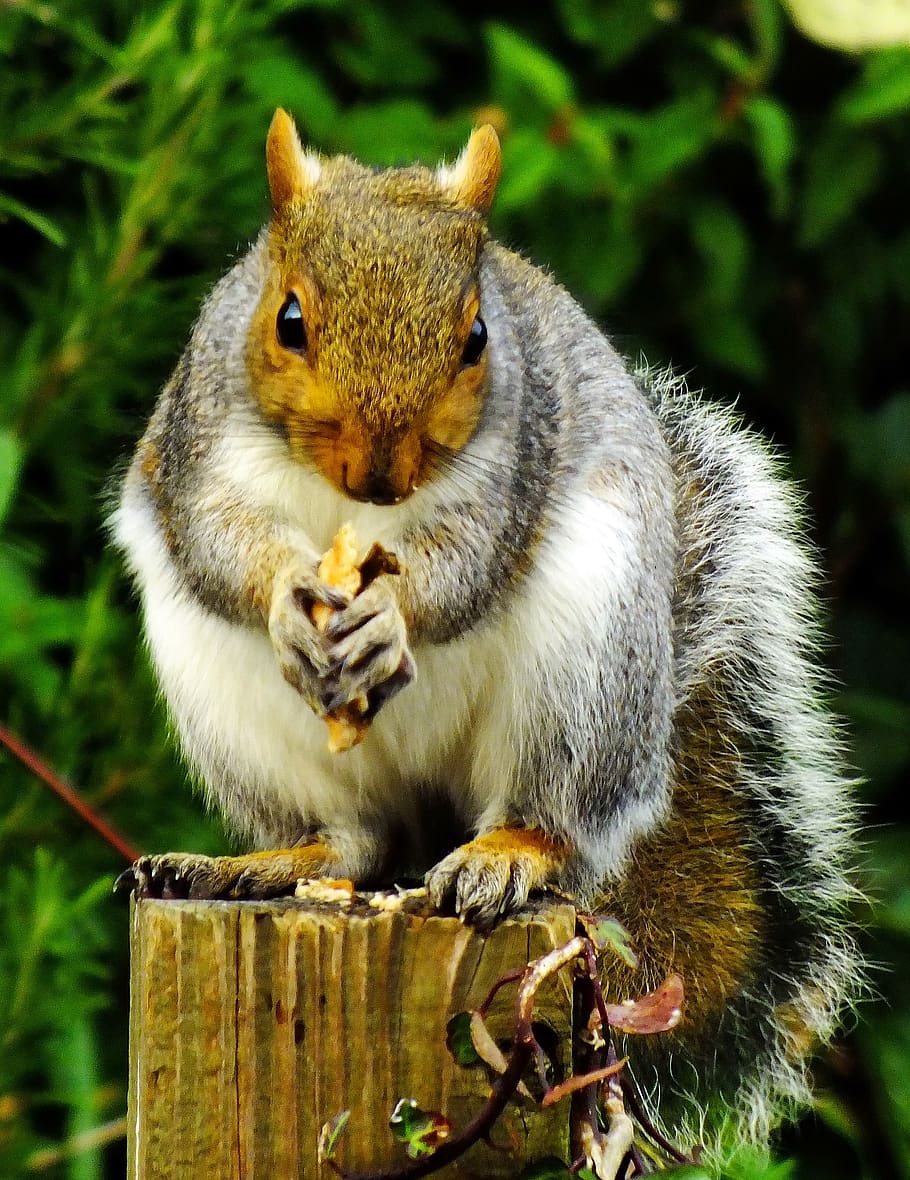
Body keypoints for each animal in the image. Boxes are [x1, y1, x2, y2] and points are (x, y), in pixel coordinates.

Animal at [112, 108, 859, 1156]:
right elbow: (218, 538)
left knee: (556, 819)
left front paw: (393, 618)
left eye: (476, 339)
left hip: (584, 678)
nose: (380, 473)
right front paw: (287, 593)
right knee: (356, 842)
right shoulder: (194, 445)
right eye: (287, 320)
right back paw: (258, 864)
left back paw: (506, 853)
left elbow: (464, 566)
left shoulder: (512, 466)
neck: (352, 513)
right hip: (231, 709)